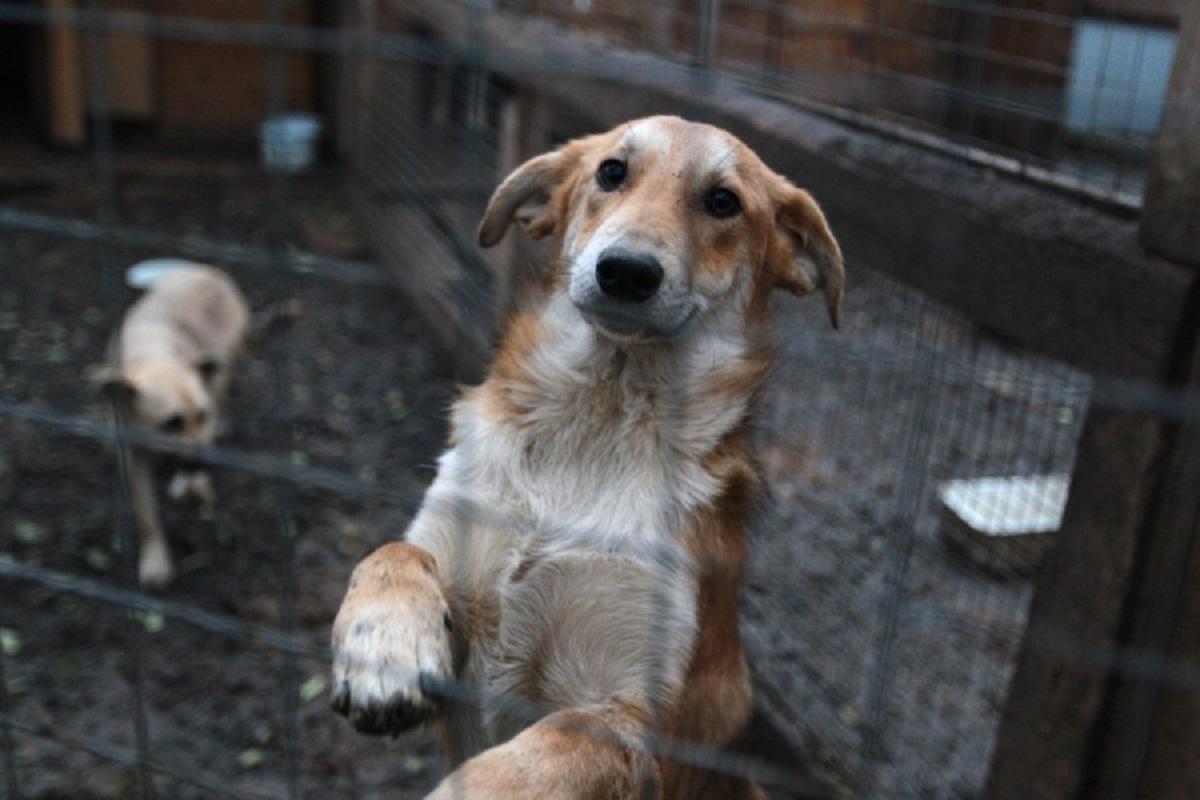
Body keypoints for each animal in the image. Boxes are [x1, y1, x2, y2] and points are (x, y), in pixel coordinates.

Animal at [90, 262, 249, 587]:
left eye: (201, 415)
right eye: (171, 424)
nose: (206, 464)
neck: (152, 355)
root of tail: (211, 273)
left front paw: (194, 486)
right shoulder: (133, 453)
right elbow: (146, 514)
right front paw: (155, 561)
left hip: (222, 371)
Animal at [328, 115, 844, 796]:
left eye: (723, 202)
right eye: (611, 172)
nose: (626, 270)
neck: (595, 425)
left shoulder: (631, 721)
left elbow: (540, 751)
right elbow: (393, 552)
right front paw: (384, 649)